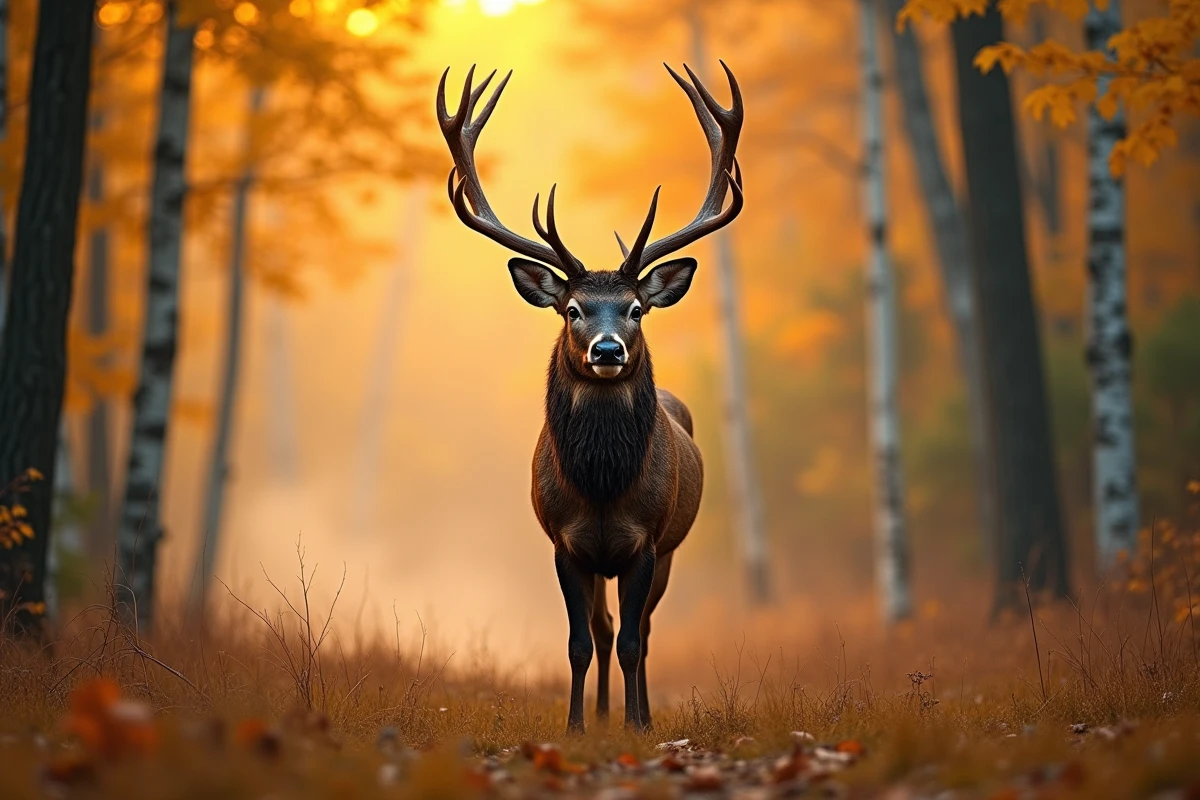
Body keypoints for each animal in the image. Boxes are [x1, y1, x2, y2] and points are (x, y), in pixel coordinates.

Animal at [437, 61, 743, 733]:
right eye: (573, 308)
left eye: (635, 309)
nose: (607, 350)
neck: (602, 488)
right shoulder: (564, 542)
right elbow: (581, 640)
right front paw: (578, 726)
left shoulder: (646, 542)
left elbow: (632, 640)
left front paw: (635, 725)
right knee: (603, 628)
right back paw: (602, 714)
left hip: (670, 549)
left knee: (642, 632)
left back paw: (638, 713)